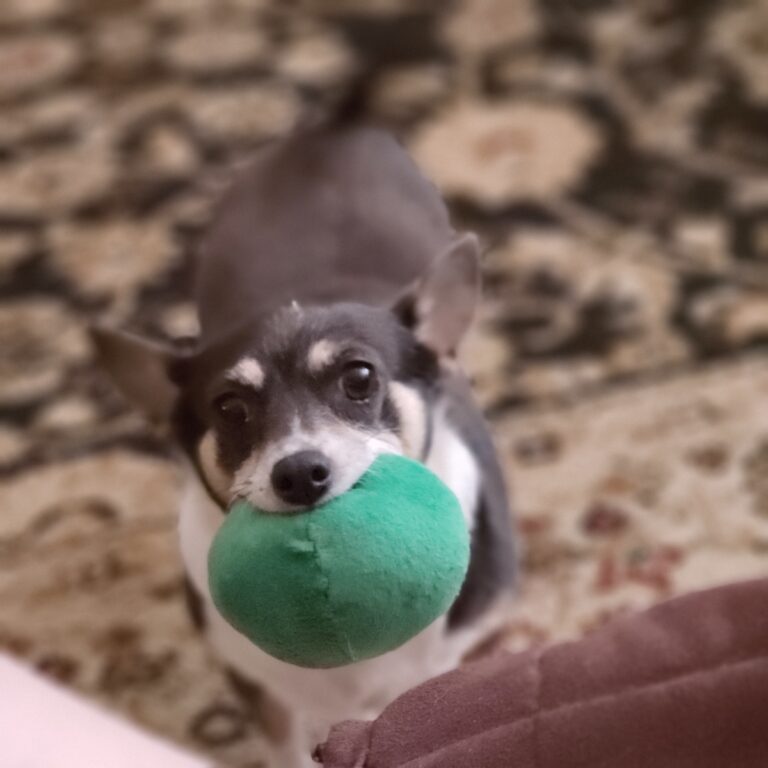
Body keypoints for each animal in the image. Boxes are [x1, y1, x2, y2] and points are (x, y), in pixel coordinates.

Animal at [93, 118, 516, 766]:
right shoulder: (261, 693)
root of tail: (336, 126)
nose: (298, 473)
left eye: (360, 379)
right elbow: (287, 749)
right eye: (230, 409)